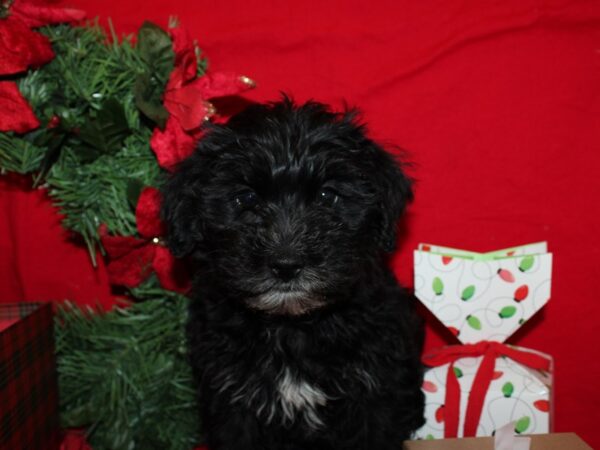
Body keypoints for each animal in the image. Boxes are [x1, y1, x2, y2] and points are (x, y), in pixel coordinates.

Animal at [164, 99, 424, 450]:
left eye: (328, 196)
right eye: (246, 198)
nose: (286, 264)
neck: (291, 325)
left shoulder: (375, 391)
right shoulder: (231, 399)